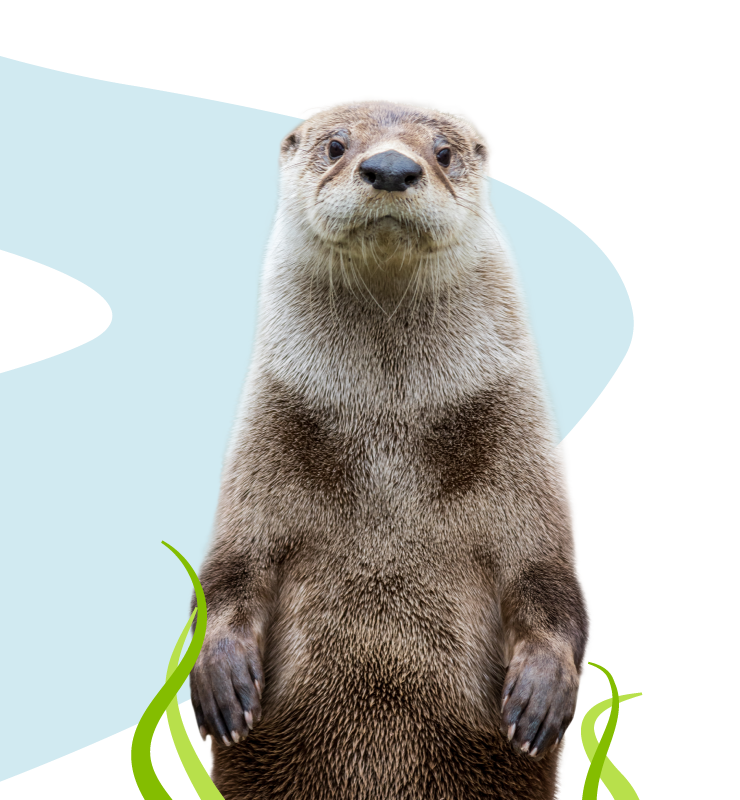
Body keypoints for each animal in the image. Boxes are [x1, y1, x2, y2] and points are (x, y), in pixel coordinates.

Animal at [188, 96, 593, 800]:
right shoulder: (260, 452)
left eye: (444, 151)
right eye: (335, 145)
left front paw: (541, 693)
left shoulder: (526, 457)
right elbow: (230, 569)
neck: (389, 432)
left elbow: (552, 580)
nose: (390, 168)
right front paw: (222, 675)